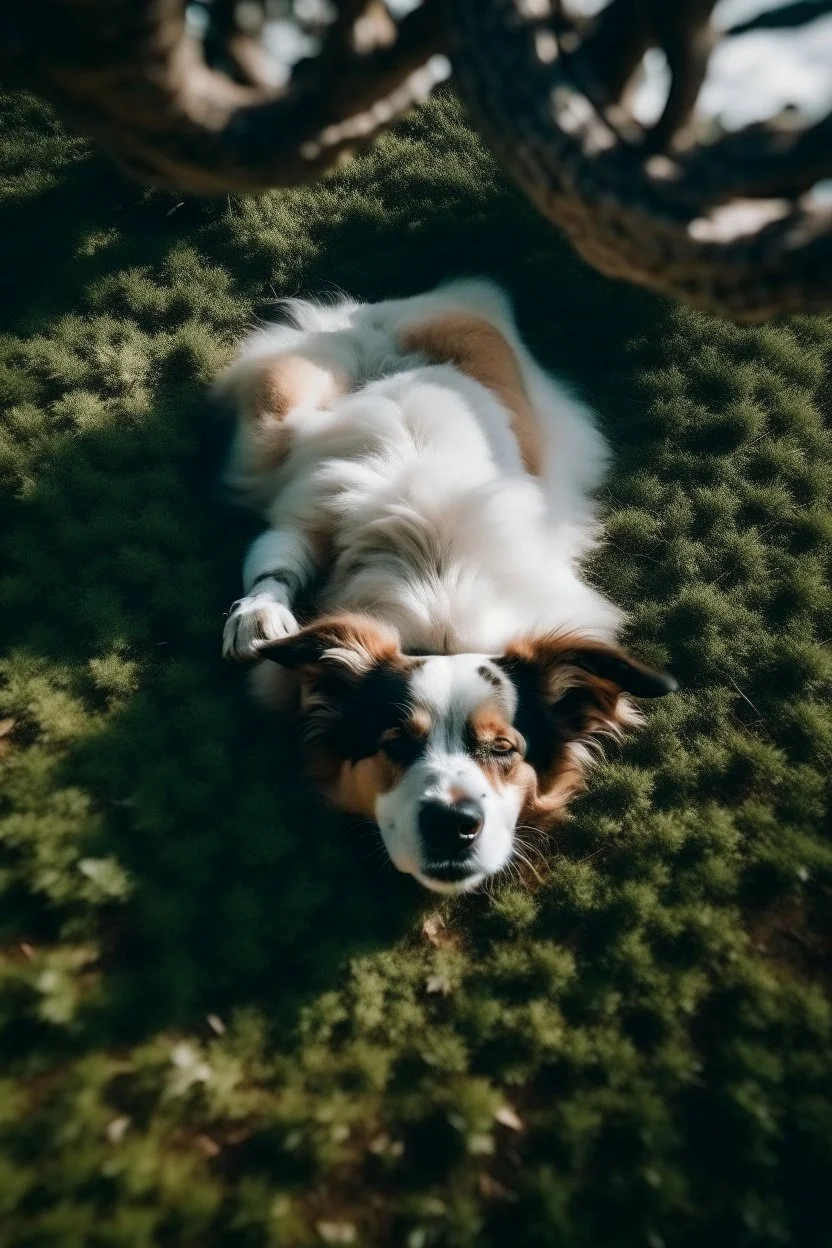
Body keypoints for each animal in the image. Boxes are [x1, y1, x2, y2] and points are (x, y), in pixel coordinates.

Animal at [217, 278, 678, 893]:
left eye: (504, 749)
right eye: (395, 744)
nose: (451, 824)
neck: (439, 610)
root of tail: (378, 324)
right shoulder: (306, 515)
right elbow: (276, 559)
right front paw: (258, 618)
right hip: (274, 413)